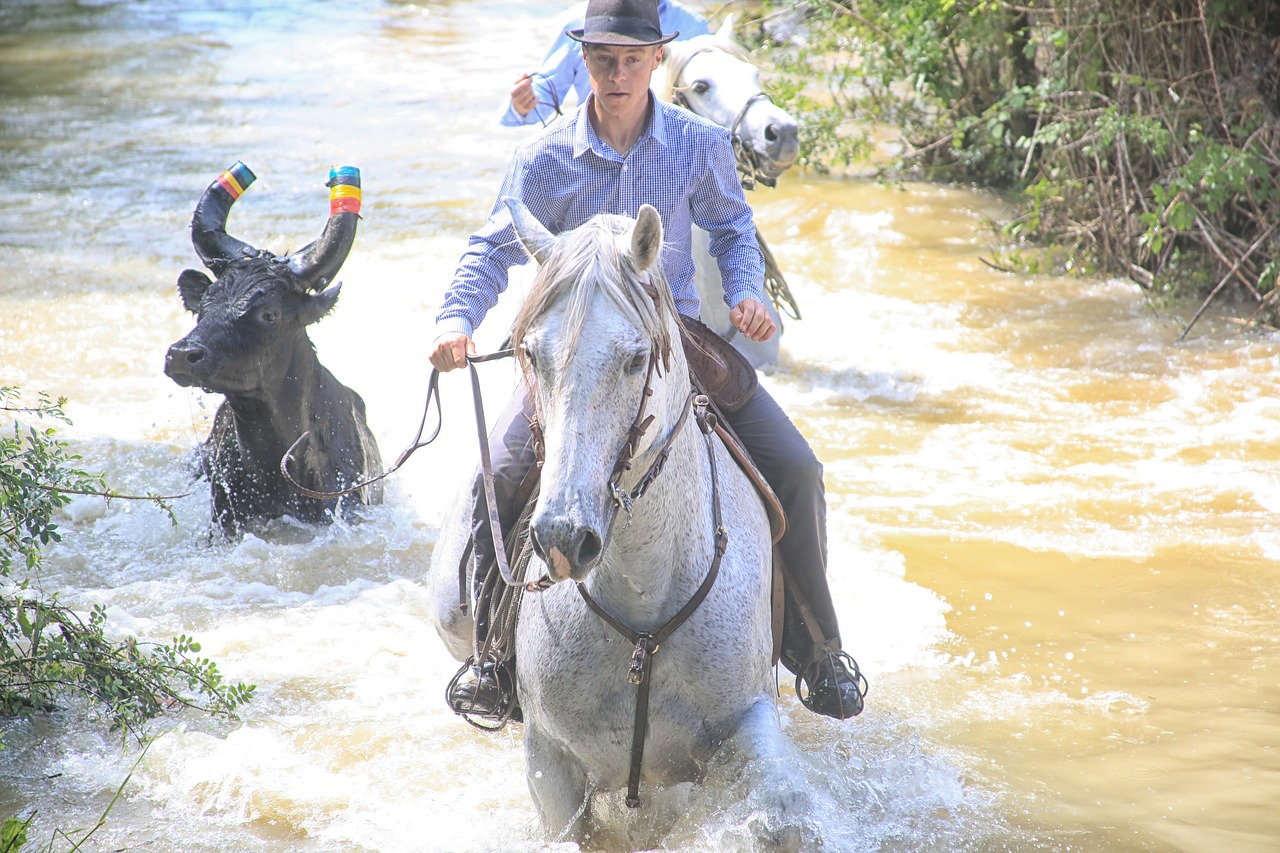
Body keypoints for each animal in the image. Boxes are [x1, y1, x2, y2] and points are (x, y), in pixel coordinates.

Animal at [427, 202, 808, 845]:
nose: (561, 538)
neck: (644, 598)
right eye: (531, 354)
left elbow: (781, 812)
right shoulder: (550, 762)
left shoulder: (745, 720)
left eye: (635, 359)